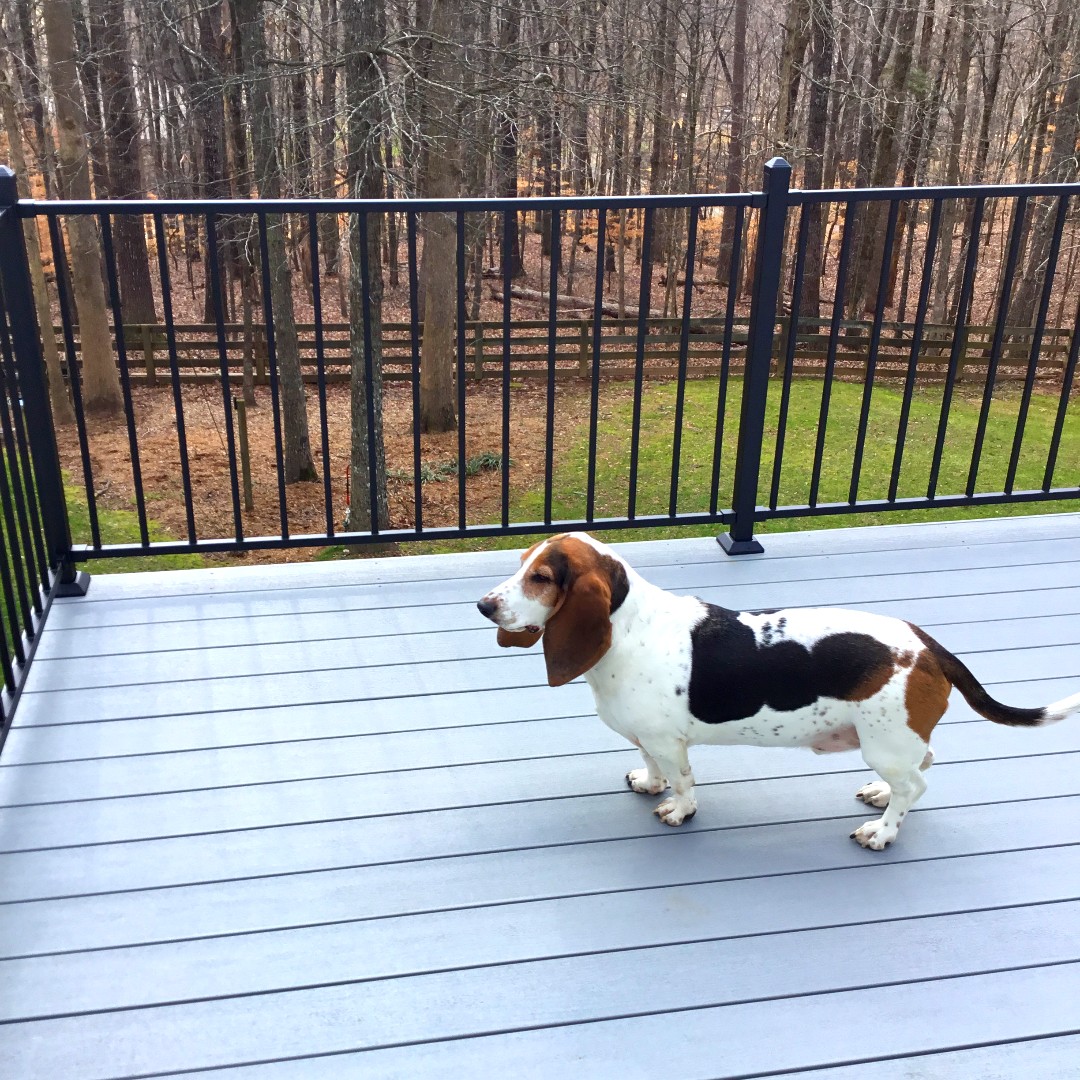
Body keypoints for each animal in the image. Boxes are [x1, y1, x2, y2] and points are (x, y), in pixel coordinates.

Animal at [479, 535, 1080, 846]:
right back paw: (881, 797)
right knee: (919, 770)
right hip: (898, 741)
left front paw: (679, 810)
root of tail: (927, 644)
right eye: (520, 564)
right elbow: (651, 767)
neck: (628, 625)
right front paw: (649, 785)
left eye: (541, 578)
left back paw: (882, 830)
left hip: (883, 742)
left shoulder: (671, 743)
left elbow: (684, 782)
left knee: (916, 786)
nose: (483, 606)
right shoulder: (648, 739)